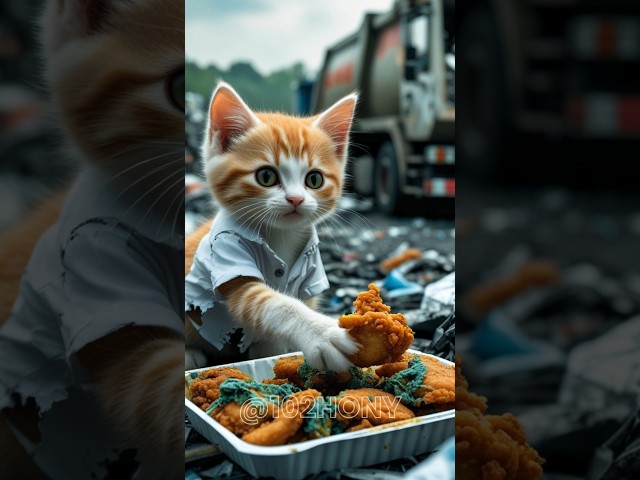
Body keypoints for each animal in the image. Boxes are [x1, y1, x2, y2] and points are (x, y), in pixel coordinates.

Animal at [184, 83, 360, 372]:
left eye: (314, 179)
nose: (296, 199)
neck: (280, 236)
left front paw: (273, 350)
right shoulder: (226, 250)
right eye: (266, 176)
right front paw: (323, 333)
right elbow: (272, 304)